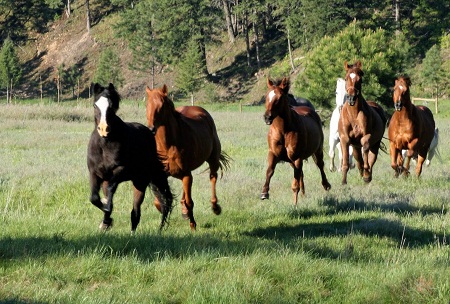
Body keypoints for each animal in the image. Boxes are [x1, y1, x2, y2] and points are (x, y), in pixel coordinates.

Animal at [87, 83, 173, 233]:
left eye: (111, 106)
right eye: (95, 105)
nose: (104, 129)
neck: (104, 145)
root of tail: (149, 132)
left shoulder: (119, 170)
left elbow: (110, 192)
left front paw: (107, 209)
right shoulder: (95, 173)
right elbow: (94, 198)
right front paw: (106, 220)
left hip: (140, 182)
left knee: (136, 212)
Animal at [146, 84, 230, 229]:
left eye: (162, 105)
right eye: (147, 104)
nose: (151, 128)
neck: (168, 146)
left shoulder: (186, 174)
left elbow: (190, 202)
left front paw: (193, 225)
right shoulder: (162, 175)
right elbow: (158, 202)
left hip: (212, 160)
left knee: (213, 178)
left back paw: (215, 207)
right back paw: (184, 212)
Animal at [260, 77, 330, 205]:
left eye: (279, 97)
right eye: (267, 96)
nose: (267, 117)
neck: (283, 131)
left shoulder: (297, 157)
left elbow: (295, 184)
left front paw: (295, 204)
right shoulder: (273, 154)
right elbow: (269, 171)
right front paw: (264, 193)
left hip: (317, 150)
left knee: (320, 165)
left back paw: (326, 185)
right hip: (293, 161)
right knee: (301, 173)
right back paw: (303, 193)